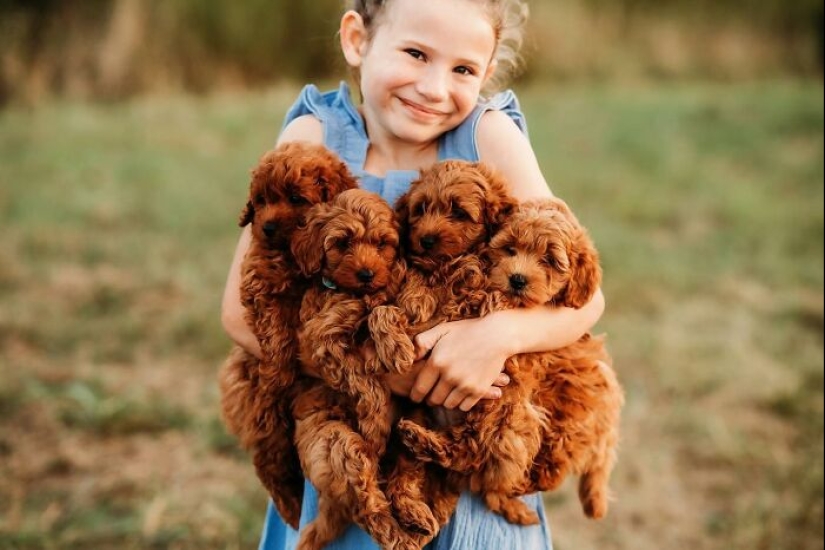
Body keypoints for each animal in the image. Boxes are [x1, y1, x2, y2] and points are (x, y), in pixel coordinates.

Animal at [219, 141, 358, 532]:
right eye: (261, 200)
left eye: (296, 198)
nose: (266, 226)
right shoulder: (260, 283)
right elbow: (275, 328)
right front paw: (279, 372)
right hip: (262, 416)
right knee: (271, 465)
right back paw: (293, 510)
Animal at [290, 190, 418, 550]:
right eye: (343, 242)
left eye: (382, 244)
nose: (366, 274)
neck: (353, 293)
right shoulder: (319, 341)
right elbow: (361, 378)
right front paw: (374, 420)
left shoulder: (391, 294)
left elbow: (384, 310)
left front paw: (396, 346)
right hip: (338, 446)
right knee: (369, 507)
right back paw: (402, 537)